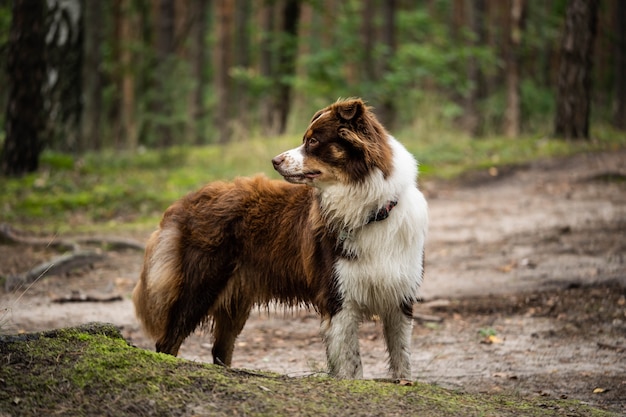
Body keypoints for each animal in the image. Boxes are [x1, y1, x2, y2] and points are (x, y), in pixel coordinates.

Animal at [131, 99, 424, 378]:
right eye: (306, 138)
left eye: (313, 141)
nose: (274, 160)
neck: (373, 211)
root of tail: (184, 201)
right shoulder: (339, 298)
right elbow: (351, 366)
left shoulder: (400, 296)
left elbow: (403, 358)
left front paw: (404, 382)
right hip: (199, 287)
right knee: (167, 342)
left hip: (235, 299)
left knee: (220, 350)